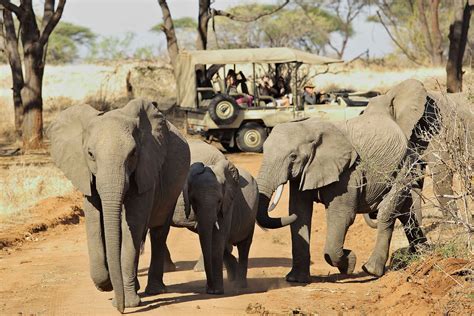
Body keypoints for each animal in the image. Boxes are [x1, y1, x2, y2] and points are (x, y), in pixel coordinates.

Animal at [47, 99, 190, 314]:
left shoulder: (146, 171)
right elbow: (95, 224)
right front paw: (107, 285)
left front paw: (128, 303)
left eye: (133, 153)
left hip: (172, 190)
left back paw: (153, 290)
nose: (120, 309)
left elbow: (133, 224)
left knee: (157, 232)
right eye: (90, 154)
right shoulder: (85, 174)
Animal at [254, 79, 438, 282]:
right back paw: (422, 253)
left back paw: (371, 270)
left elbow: (341, 216)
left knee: (388, 210)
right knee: (405, 210)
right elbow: (300, 213)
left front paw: (349, 263)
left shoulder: (348, 174)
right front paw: (296, 280)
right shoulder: (306, 172)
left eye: (293, 157)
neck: (314, 129)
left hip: (404, 164)